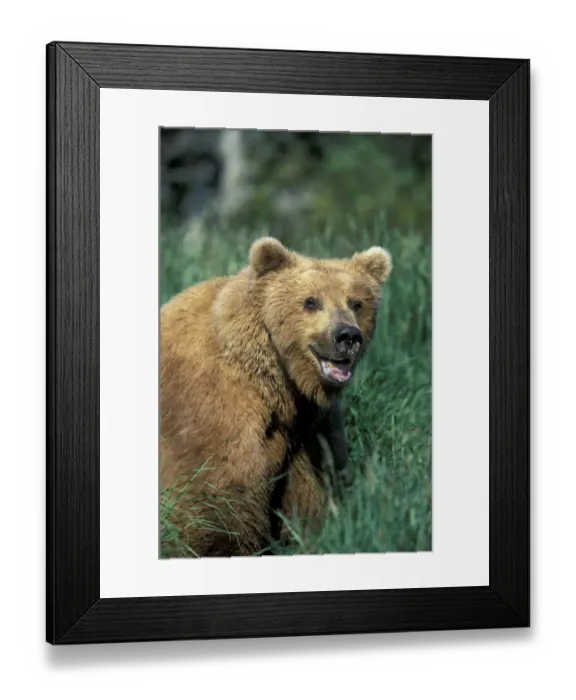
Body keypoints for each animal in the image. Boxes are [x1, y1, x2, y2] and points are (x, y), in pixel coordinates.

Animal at [160, 236, 392, 557]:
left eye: (356, 302)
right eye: (311, 301)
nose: (347, 336)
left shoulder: (309, 428)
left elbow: (314, 491)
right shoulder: (214, 410)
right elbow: (215, 497)